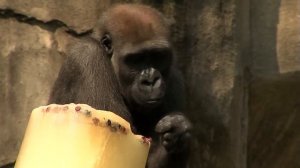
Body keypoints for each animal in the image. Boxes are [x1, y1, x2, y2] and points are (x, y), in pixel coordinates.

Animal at [48, 3, 192, 168]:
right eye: (136, 60)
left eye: (158, 56)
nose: (150, 81)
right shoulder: (88, 55)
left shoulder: (175, 78)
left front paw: (179, 132)